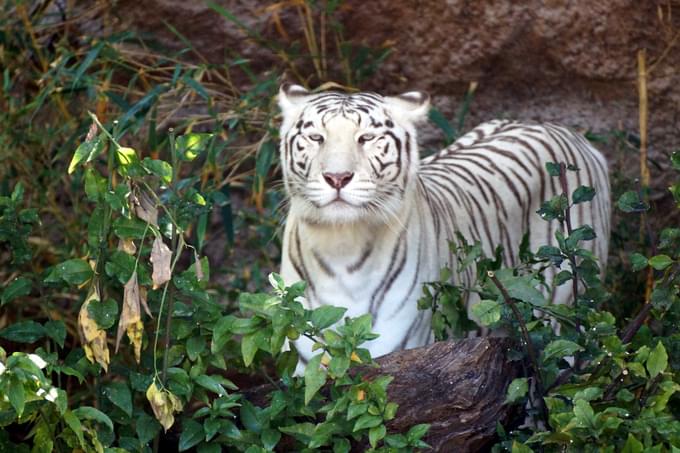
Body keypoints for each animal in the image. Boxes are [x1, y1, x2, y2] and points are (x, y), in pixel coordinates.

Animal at [276, 83, 612, 362]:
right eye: (316, 137)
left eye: (367, 138)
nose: (337, 177)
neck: (342, 244)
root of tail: (567, 131)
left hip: (563, 312)